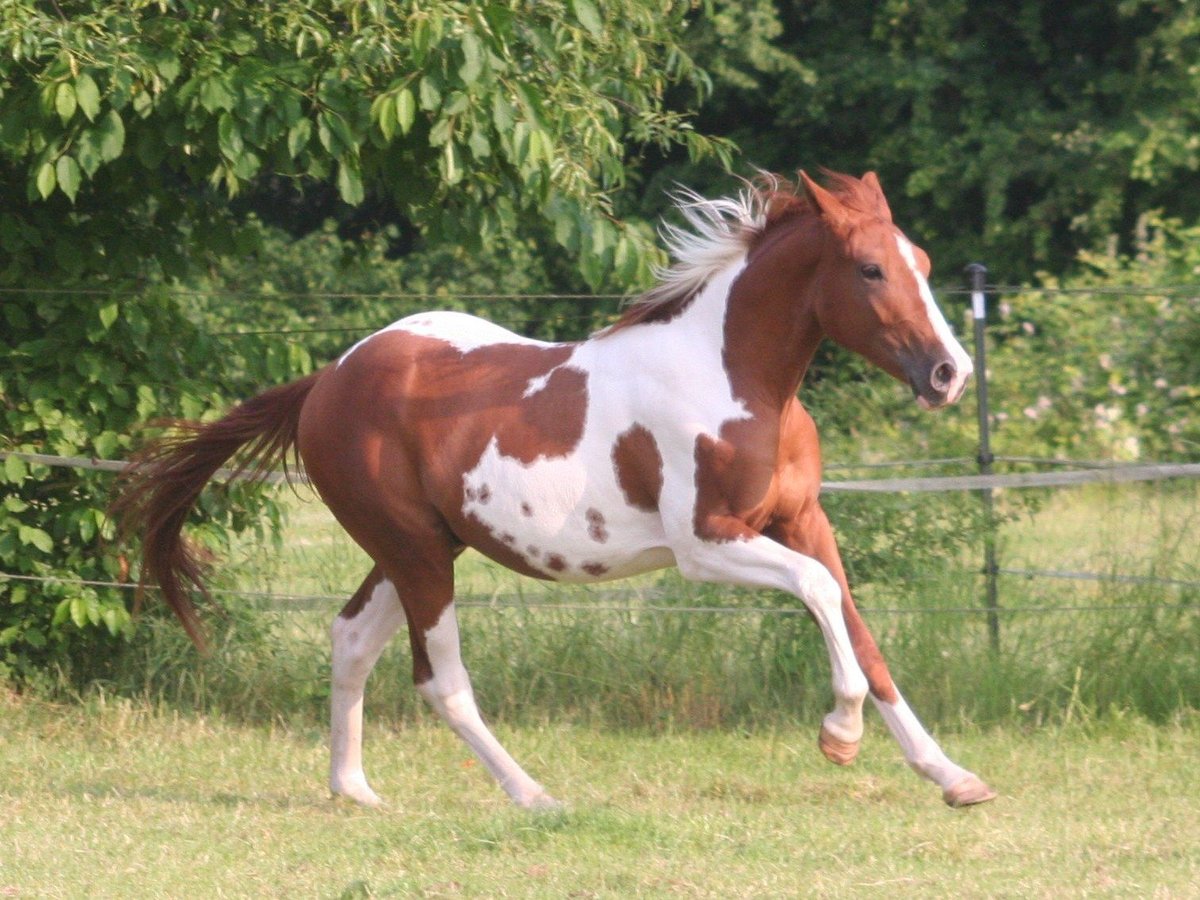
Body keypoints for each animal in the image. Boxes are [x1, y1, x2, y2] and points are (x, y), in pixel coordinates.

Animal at [114, 169, 996, 810]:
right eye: (870, 269)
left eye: (921, 264)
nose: (950, 373)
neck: (735, 383)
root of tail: (328, 379)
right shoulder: (706, 543)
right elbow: (818, 595)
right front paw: (838, 735)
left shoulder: (800, 519)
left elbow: (861, 634)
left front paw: (954, 777)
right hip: (416, 552)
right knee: (442, 682)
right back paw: (534, 795)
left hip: (422, 548)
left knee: (351, 639)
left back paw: (355, 790)